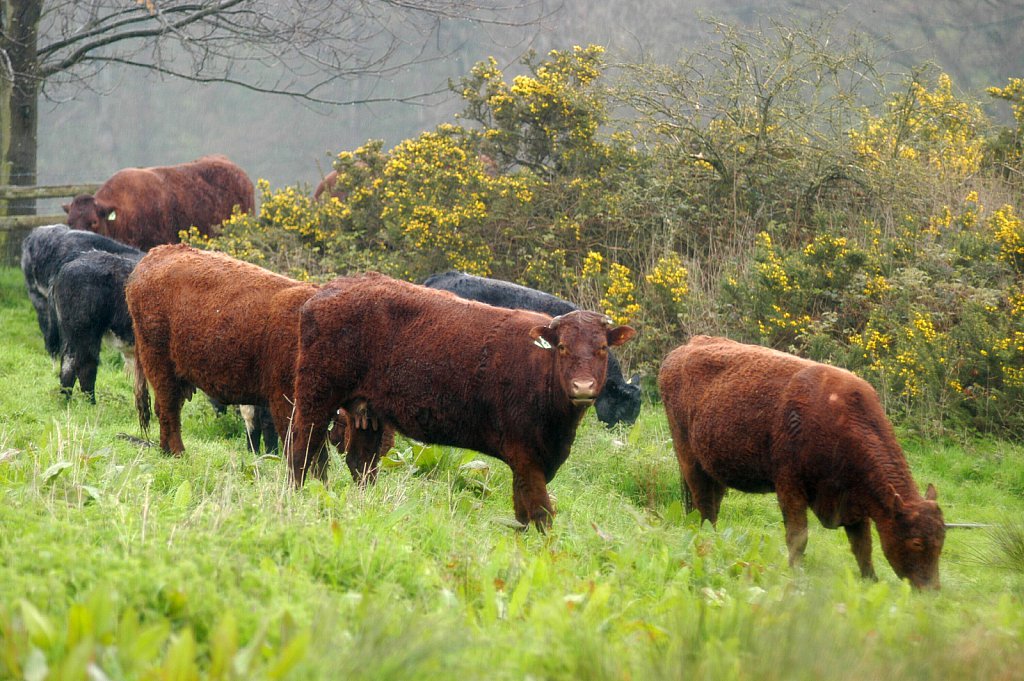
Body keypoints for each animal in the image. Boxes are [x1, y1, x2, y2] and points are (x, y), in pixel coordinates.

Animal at [659, 335, 946, 589]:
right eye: (916, 542)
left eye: (942, 540)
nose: (931, 590)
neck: (840, 421)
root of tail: (685, 348)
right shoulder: (789, 486)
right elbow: (798, 537)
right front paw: (796, 573)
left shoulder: (855, 505)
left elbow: (863, 547)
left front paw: (871, 581)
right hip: (689, 460)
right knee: (705, 506)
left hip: (713, 470)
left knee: (711, 506)